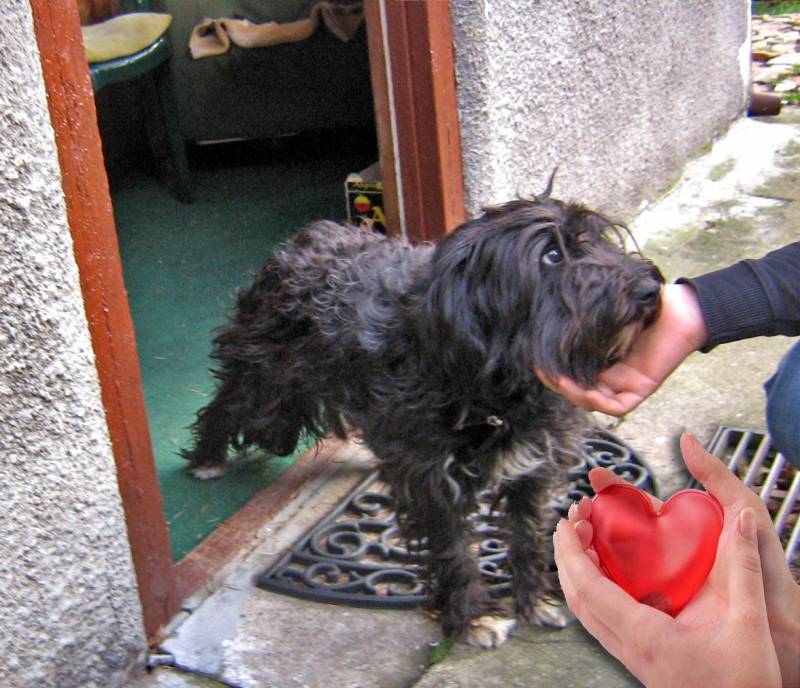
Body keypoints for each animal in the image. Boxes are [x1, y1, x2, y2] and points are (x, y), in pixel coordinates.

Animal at [181, 189, 663, 647]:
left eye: (598, 239)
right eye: (552, 255)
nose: (650, 288)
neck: (493, 384)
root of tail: (302, 240)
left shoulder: (533, 467)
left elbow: (527, 533)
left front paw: (535, 600)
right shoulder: (434, 482)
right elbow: (455, 552)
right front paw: (474, 618)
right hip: (268, 386)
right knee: (226, 407)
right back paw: (207, 459)